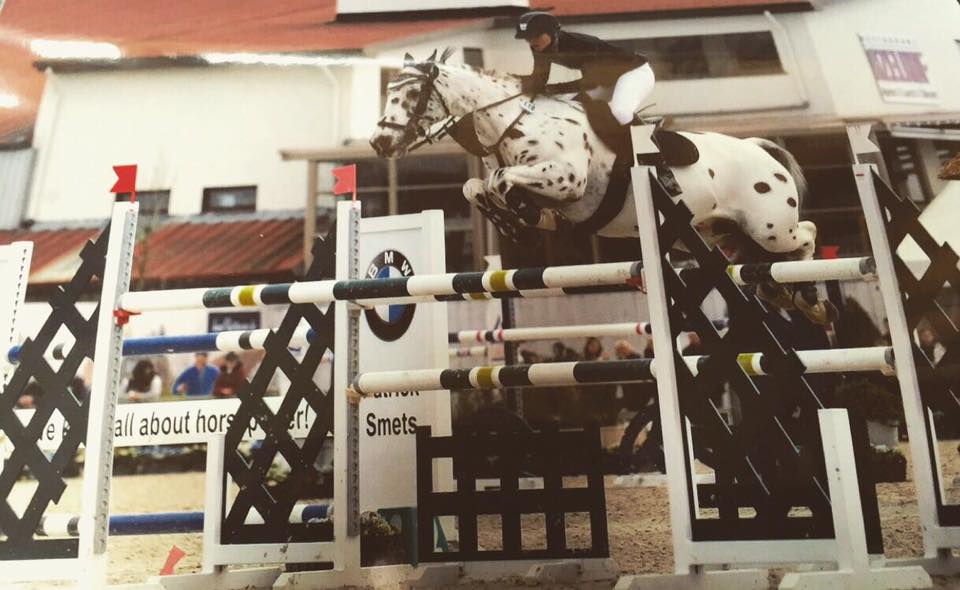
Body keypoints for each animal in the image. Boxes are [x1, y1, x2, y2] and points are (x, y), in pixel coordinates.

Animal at [372, 51, 828, 320]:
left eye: (411, 93)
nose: (379, 143)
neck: (511, 121)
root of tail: (759, 147)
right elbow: (475, 186)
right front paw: (516, 220)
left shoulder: (566, 179)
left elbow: (502, 181)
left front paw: (520, 214)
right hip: (709, 233)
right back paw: (781, 295)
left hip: (770, 228)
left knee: (806, 235)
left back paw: (809, 298)